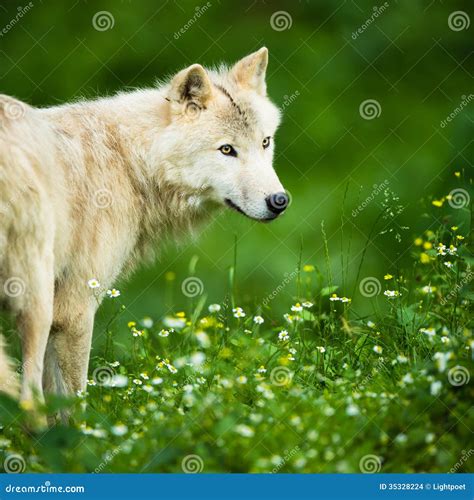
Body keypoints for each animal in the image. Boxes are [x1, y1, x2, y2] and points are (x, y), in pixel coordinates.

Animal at [0, 47, 288, 414]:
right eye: (227, 150)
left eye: (265, 142)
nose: (280, 201)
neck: (131, 162)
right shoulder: (74, 310)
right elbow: (71, 405)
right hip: (36, 305)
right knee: (29, 400)